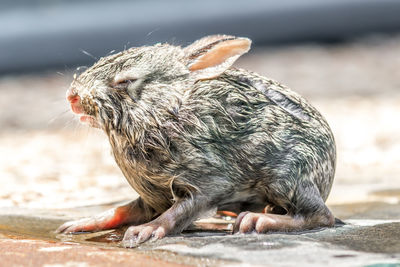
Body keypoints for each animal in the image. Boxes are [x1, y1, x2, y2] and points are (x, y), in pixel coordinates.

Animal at [58, 35, 334, 247]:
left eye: (125, 81)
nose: (72, 97)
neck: (160, 113)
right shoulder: (151, 193)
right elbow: (125, 209)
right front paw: (81, 222)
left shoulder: (209, 182)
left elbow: (178, 212)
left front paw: (145, 231)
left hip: (286, 177)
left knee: (321, 216)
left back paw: (256, 220)